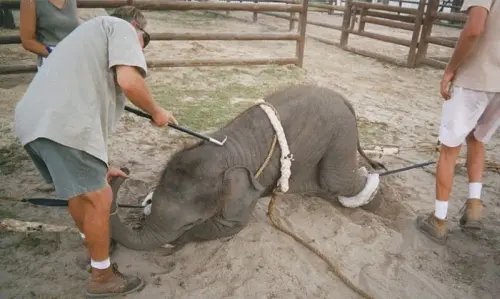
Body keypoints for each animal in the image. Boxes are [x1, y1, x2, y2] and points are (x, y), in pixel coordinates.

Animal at [109, 84, 384, 251]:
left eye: (190, 223)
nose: (124, 170)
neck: (225, 151)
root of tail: (343, 99)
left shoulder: (246, 193)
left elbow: (229, 225)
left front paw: (174, 243)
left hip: (340, 133)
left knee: (337, 179)